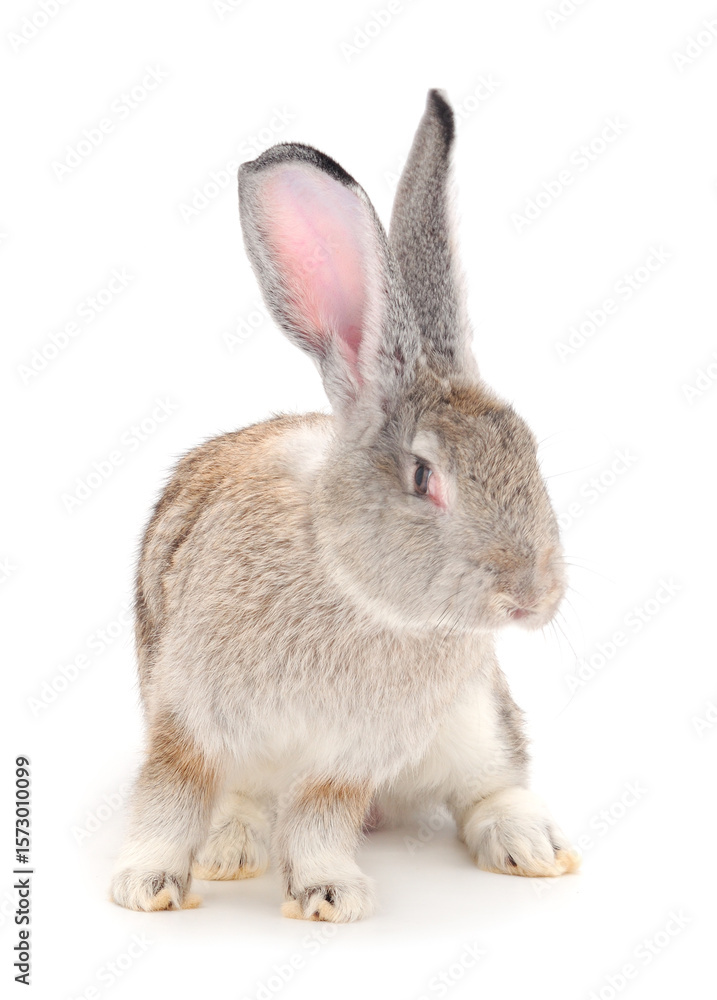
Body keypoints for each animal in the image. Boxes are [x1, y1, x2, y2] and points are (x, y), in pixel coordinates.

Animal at [110, 89, 580, 922]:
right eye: (423, 477)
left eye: (526, 450)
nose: (530, 596)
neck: (352, 584)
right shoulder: (187, 718)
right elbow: (171, 799)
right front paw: (146, 886)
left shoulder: (347, 759)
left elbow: (320, 819)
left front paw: (330, 895)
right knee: (239, 803)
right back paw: (232, 850)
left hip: (474, 719)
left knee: (491, 784)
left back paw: (531, 846)